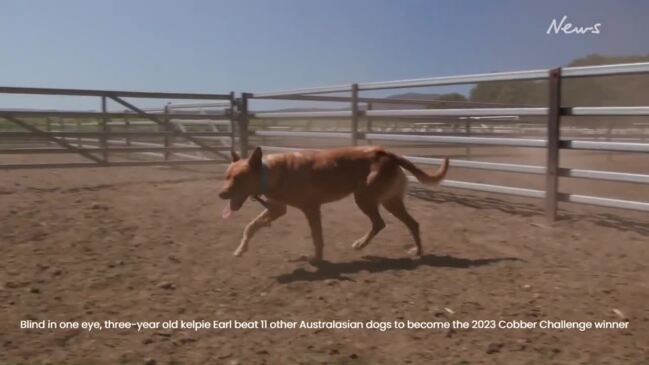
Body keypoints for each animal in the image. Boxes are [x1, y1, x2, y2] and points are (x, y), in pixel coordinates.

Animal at [216, 145, 446, 262]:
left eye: (238, 179)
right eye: (226, 176)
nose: (220, 194)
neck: (271, 172)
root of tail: (387, 153)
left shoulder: (311, 208)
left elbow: (317, 237)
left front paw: (317, 259)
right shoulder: (277, 209)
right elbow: (250, 227)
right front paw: (241, 249)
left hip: (364, 198)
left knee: (380, 223)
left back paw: (363, 244)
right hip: (390, 200)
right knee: (411, 223)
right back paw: (417, 252)